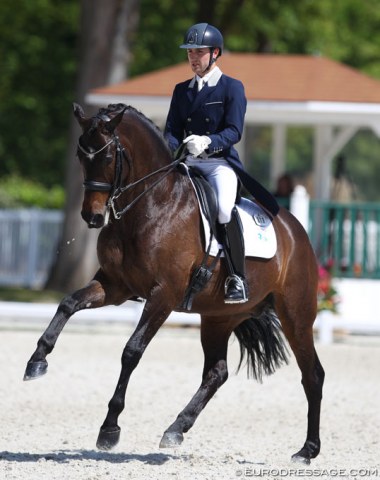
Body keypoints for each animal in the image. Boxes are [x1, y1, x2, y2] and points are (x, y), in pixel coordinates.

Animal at [23, 102, 326, 464]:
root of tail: (296, 231)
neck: (150, 205)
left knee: (312, 375)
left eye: (108, 157)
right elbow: (68, 303)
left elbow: (132, 351)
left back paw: (307, 450)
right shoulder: (115, 286)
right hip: (218, 318)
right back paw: (175, 429)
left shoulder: (163, 296)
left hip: (295, 315)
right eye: (81, 156)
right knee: (217, 373)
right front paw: (37, 361)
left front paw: (110, 429)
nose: (92, 217)